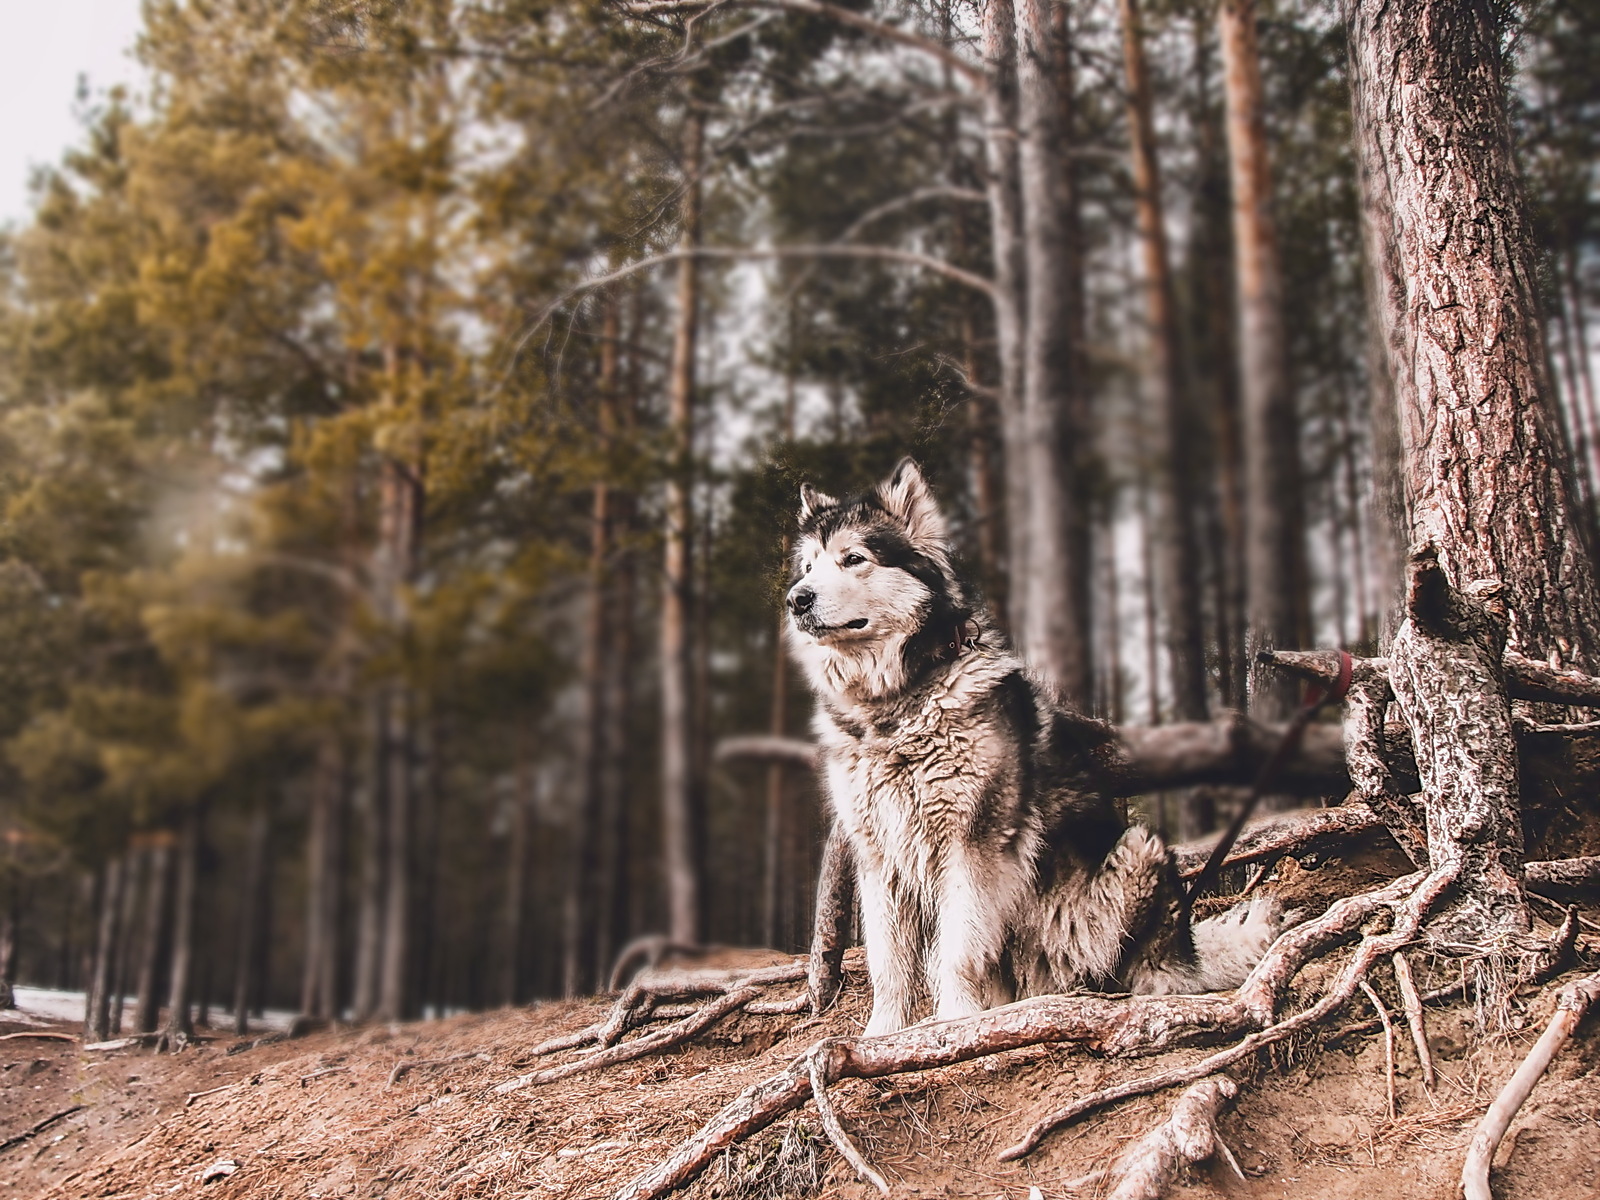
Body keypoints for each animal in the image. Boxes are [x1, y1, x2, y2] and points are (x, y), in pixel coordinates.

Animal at [780, 454, 1280, 1036]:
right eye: (809, 567)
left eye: (853, 558)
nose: (796, 599)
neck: (897, 702)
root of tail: (1190, 954)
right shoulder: (878, 855)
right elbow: (888, 964)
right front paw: (883, 1036)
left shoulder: (972, 843)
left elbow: (957, 949)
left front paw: (952, 1026)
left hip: (1138, 850)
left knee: (1142, 969)